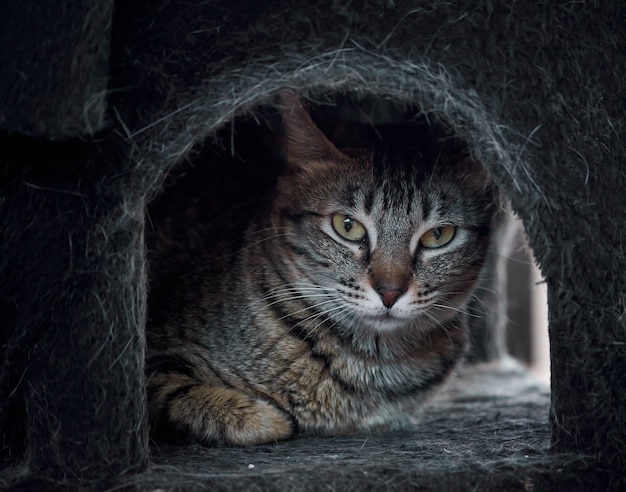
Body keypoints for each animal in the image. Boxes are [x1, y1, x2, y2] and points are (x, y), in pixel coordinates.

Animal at [145, 91, 498, 446]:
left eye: (438, 236)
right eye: (347, 226)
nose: (389, 292)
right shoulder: (154, 353)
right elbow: (177, 394)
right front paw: (263, 418)